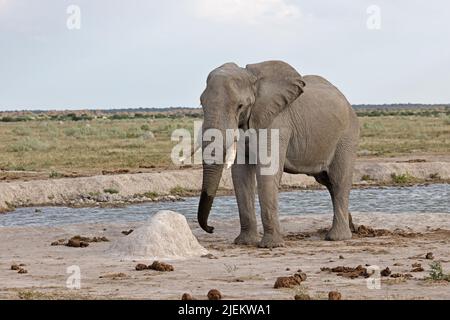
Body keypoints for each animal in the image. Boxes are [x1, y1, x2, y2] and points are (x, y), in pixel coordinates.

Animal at [196, 61, 358, 249]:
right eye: (201, 104)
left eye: (240, 106)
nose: (211, 228)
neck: (253, 78)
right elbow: (240, 175)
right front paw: (245, 243)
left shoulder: (277, 121)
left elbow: (267, 171)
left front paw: (270, 245)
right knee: (328, 182)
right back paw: (351, 228)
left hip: (346, 137)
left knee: (339, 180)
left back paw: (337, 237)